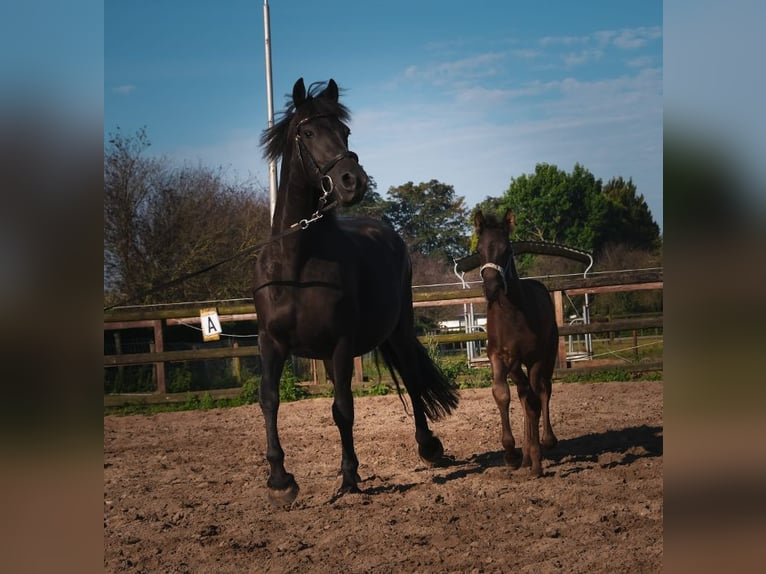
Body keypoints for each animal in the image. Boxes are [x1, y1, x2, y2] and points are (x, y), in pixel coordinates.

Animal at [252, 79, 460, 506]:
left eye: (345, 131)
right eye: (308, 133)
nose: (353, 181)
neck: (296, 268)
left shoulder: (341, 344)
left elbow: (343, 409)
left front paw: (349, 479)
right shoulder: (271, 343)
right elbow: (270, 399)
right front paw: (280, 481)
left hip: (399, 331)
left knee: (412, 380)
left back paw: (428, 446)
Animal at [474, 210, 560, 476]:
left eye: (508, 249)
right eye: (479, 250)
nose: (491, 287)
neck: (511, 313)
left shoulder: (535, 359)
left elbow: (535, 400)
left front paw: (536, 461)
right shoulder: (499, 357)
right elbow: (502, 395)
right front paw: (512, 454)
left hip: (549, 356)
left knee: (543, 391)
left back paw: (545, 442)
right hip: (515, 365)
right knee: (524, 395)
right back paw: (526, 457)